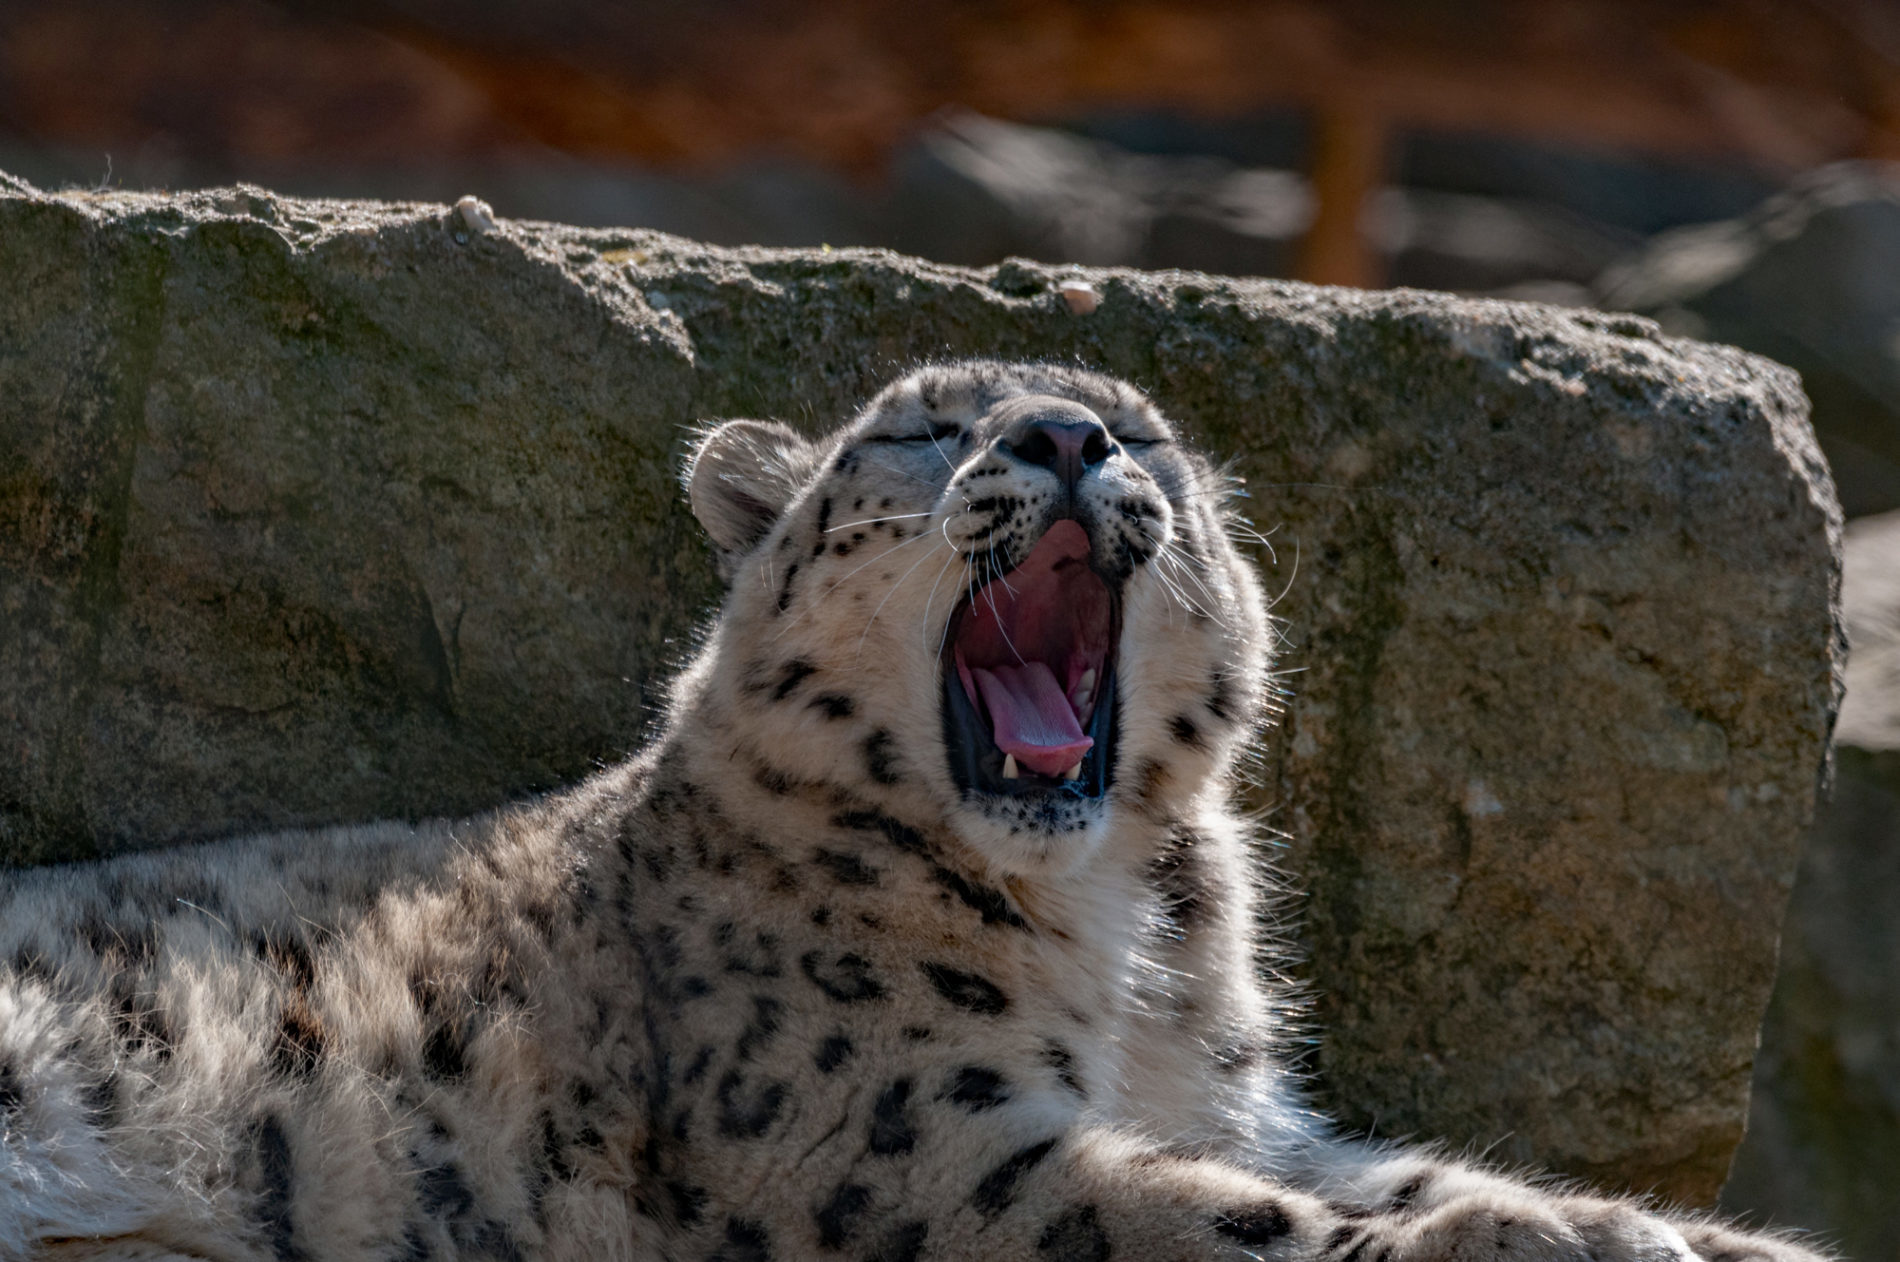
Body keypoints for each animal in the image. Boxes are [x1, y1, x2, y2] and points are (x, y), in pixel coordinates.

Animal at [0, 359, 1824, 1254]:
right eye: (931, 427)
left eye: (1147, 433)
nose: (1070, 434)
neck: (1127, 939)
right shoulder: (898, 1137)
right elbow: (1206, 1215)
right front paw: (1515, 1244)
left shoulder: (1236, 1104)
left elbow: (1379, 1170)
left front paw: (1643, 1231)